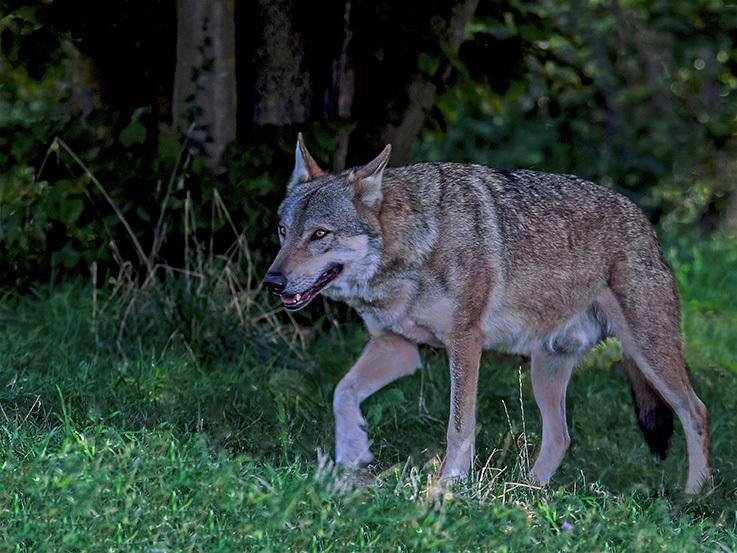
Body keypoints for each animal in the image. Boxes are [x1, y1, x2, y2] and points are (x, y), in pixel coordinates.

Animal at [263, 133, 711, 494]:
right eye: (283, 232)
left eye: (320, 235)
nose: (272, 281)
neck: (415, 247)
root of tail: (643, 221)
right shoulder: (396, 347)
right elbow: (342, 393)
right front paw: (349, 460)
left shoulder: (464, 343)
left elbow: (459, 427)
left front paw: (446, 488)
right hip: (546, 369)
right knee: (560, 437)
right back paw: (524, 494)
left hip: (646, 353)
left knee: (696, 411)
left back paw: (694, 496)